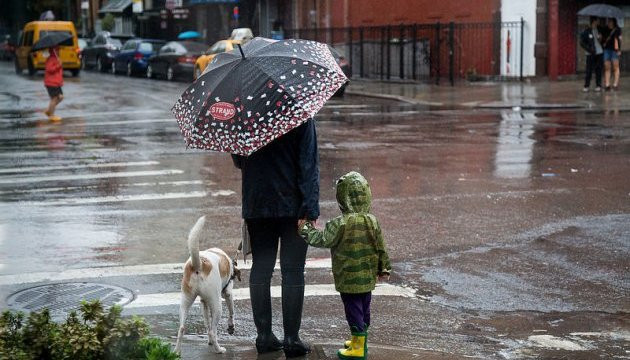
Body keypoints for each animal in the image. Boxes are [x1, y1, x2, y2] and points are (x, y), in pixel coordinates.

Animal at [175, 217, 242, 354]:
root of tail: (199, 263)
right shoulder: (228, 293)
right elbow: (231, 312)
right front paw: (231, 327)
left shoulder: (203, 302)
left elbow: (207, 322)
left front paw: (209, 340)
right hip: (217, 305)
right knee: (213, 330)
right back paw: (219, 349)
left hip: (185, 301)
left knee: (182, 328)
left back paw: (176, 352)